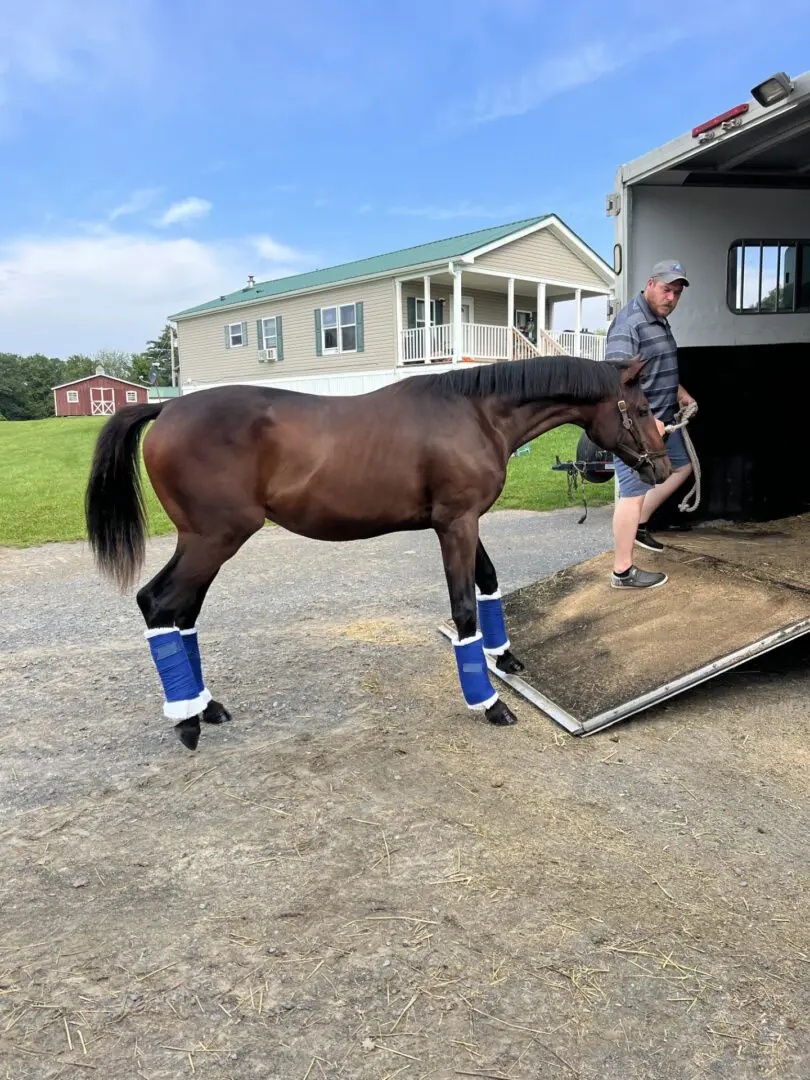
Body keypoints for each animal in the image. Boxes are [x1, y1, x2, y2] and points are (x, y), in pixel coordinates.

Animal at [84, 354, 673, 751]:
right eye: (645, 407)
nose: (663, 468)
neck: (476, 414)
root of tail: (166, 408)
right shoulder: (455, 525)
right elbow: (464, 608)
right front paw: (488, 702)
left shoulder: (465, 521)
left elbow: (488, 582)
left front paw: (504, 657)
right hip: (215, 539)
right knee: (159, 604)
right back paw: (185, 720)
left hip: (204, 542)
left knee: (182, 613)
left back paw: (205, 707)